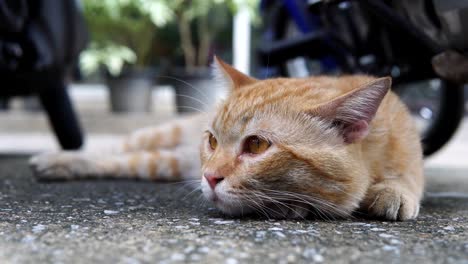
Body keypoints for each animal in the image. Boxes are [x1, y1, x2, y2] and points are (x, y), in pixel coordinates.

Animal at [29, 57, 424, 221]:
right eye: (213, 141)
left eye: (257, 145)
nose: (208, 177)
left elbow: (408, 173)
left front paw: (393, 190)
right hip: (166, 138)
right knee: (116, 148)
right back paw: (56, 159)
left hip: (167, 161)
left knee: (127, 160)